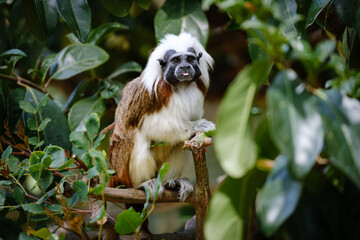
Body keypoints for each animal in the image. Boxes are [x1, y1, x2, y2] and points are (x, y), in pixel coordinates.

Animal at [106, 31, 214, 201]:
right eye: (175, 61)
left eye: (190, 59)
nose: (184, 67)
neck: (181, 86)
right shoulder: (152, 92)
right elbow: (149, 126)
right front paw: (198, 125)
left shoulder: (197, 89)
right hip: (120, 170)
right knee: (137, 136)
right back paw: (142, 184)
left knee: (179, 143)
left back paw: (171, 182)